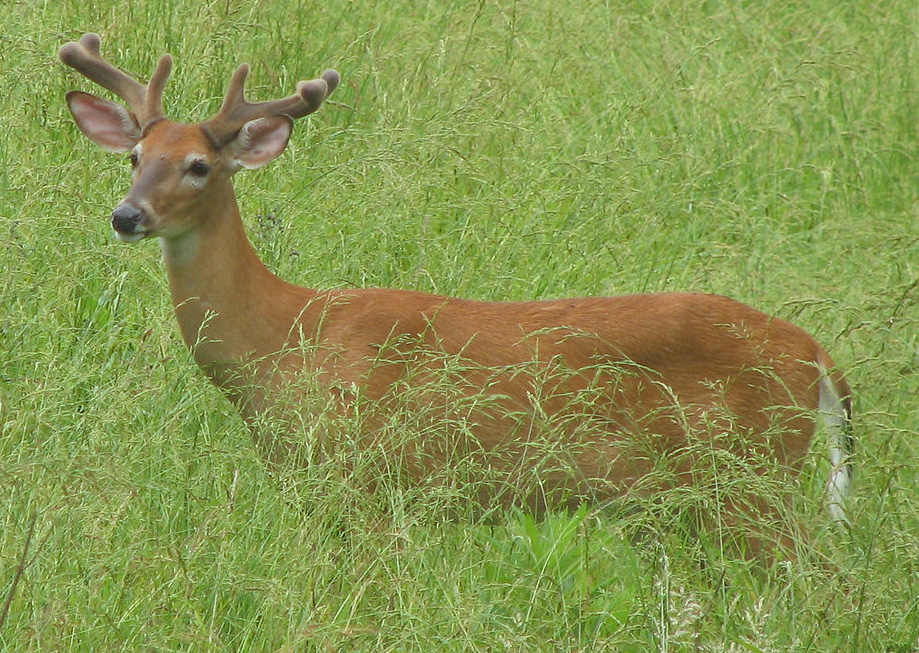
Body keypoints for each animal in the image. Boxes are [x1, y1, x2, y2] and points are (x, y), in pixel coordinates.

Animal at [61, 34, 856, 556]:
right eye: (136, 156)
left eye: (199, 165)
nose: (127, 215)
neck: (283, 338)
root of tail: (815, 354)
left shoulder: (365, 478)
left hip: (751, 480)